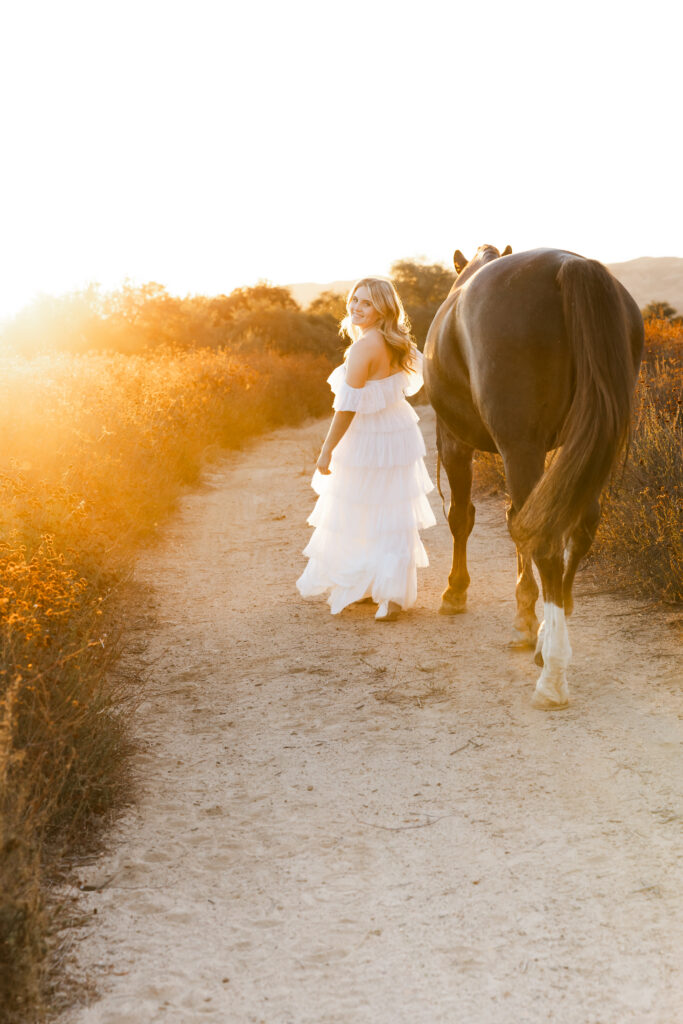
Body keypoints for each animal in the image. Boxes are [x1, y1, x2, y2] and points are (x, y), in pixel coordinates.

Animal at [423, 245, 644, 709]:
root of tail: (568, 265)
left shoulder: (454, 441)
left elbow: (462, 518)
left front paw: (455, 591)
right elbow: (515, 522)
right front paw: (526, 617)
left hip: (518, 446)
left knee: (546, 542)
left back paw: (553, 672)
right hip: (587, 444)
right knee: (578, 529)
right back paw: (551, 630)